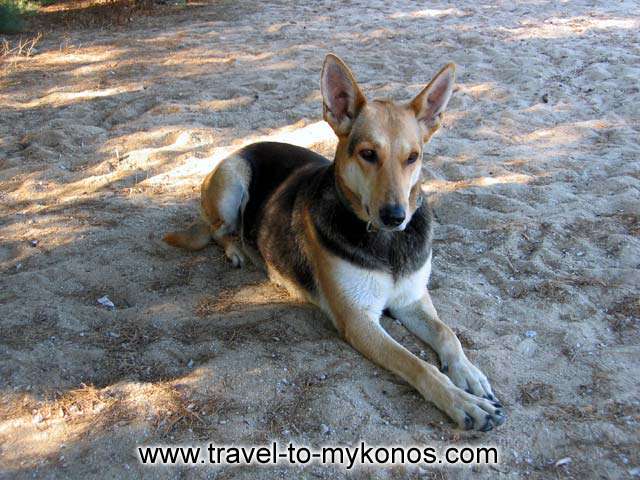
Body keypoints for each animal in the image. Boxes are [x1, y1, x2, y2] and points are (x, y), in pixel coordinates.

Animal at [165, 53, 504, 432]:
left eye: (413, 157)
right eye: (368, 154)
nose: (395, 216)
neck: (386, 243)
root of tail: (247, 144)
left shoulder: (412, 298)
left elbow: (447, 334)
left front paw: (468, 374)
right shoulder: (358, 320)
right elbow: (418, 364)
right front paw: (461, 402)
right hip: (232, 181)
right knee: (219, 230)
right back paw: (237, 249)